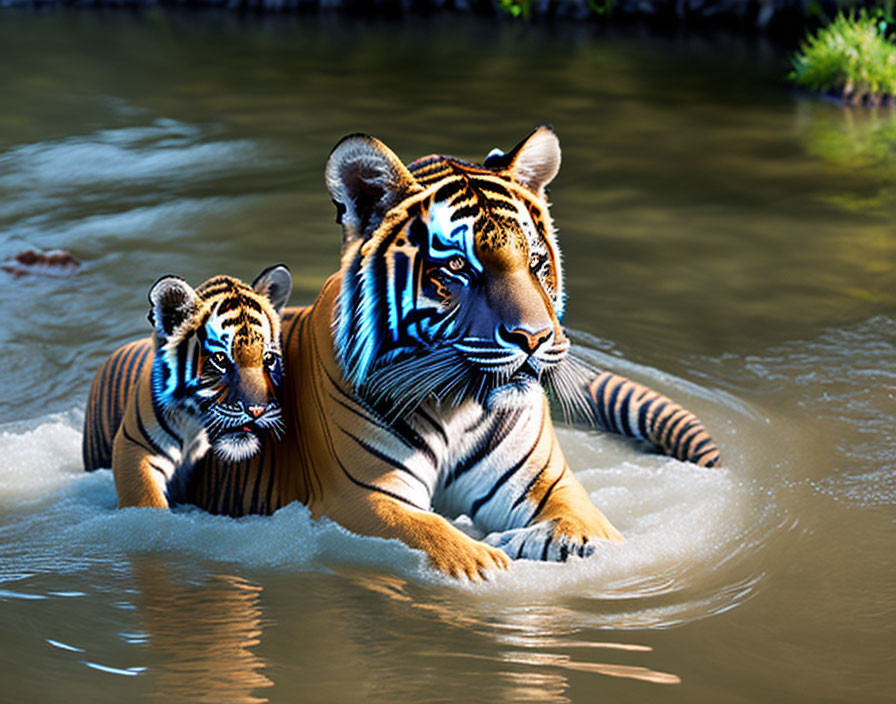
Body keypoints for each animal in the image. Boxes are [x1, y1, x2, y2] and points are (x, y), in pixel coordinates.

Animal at [82, 266, 292, 508]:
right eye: (220, 358)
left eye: (268, 358)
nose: (257, 411)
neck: (194, 425)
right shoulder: (135, 446)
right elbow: (146, 500)